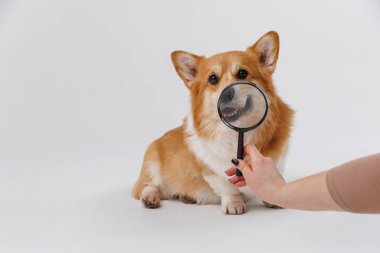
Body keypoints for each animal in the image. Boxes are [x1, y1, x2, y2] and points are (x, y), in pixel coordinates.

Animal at [132, 30, 296, 214]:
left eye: (242, 73)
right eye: (212, 79)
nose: (226, 94)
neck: (236, 133)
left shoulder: (277, 161)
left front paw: (272, 196)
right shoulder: (210, 170)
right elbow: (227, 187)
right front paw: (234, 204)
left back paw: (187, 197)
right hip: (152, 165)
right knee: (148, 186)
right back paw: (150, 197)